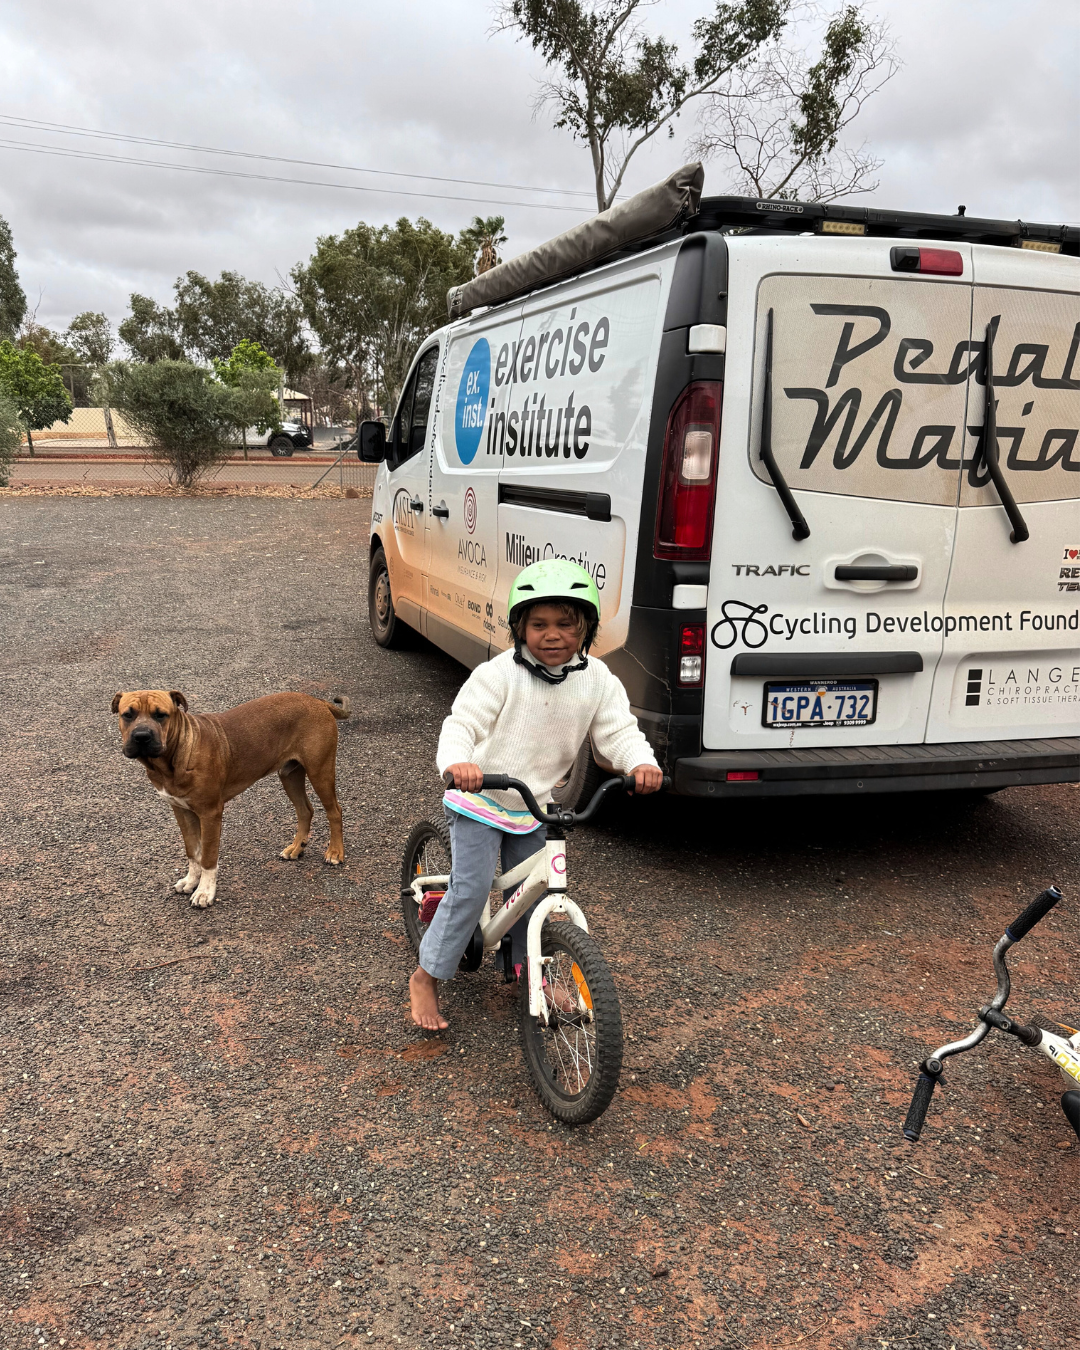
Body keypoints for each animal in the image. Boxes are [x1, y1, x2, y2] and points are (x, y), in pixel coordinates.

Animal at [112, 689, 351, 908]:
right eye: (128, 715)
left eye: (161, 715)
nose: (142, 736)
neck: (174, 758)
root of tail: (317, 700)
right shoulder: (181, 811)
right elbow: (193, 851)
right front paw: (191, 881)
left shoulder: (210, 813)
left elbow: (208, 856)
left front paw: (205, 892)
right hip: (289, 775)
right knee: (305, 810)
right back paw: (296, 848)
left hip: (320, 771)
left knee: (334, 811)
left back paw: (335, 852)